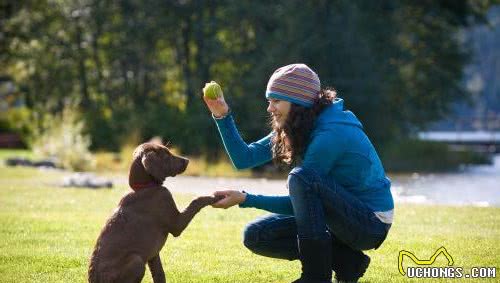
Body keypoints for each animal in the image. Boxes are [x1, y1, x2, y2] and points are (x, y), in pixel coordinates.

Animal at [88, 143, 221, 282]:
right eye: (166, 155)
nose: (187, 160)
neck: (145, 187)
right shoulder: (176, 223)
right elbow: (196, 201)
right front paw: (214, 197)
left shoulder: (153, 254)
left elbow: (159, 274)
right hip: (137, 260)